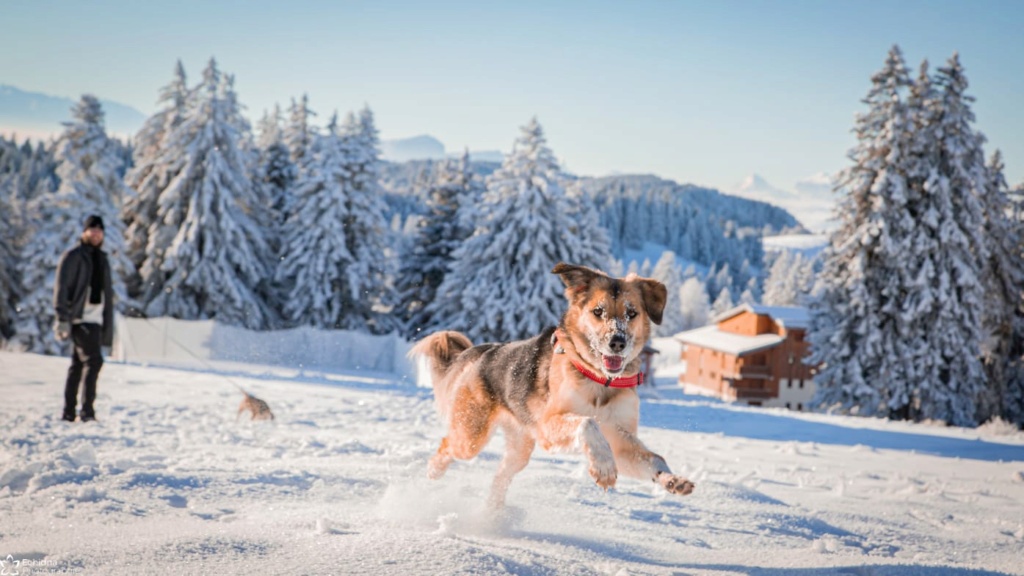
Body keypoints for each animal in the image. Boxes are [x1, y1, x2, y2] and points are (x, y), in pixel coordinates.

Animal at [409, 261, 696, 506]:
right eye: (598, 311)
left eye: (632, 313)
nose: (617, 342)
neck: (600, 381)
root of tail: (483, 351)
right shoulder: (548, 425)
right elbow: (588, 423)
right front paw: (603, 467)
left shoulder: (621, 440)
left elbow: (654, 459)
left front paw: (672, 480)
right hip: (471, 437)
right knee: (448, 444)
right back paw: (433, 471)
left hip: (520, 448)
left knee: (500, 476)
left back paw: (492, 514)